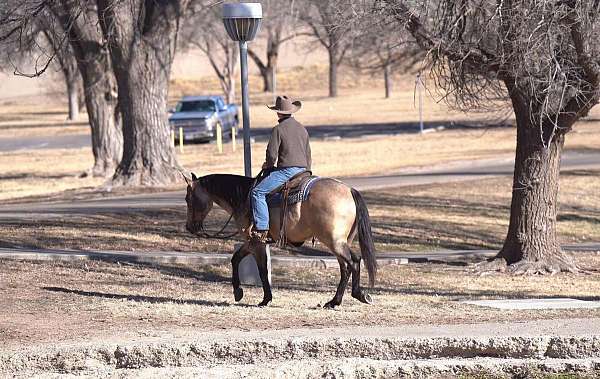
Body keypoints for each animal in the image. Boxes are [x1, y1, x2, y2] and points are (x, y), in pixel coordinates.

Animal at [185, 172, 378, 308]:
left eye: (188, 198)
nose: (189, 227)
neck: (244, 197)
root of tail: (349, 190)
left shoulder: (256, 243)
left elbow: (262, 270)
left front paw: (263, 299)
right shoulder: (253, 243)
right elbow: (236, 258)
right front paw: (239, 292)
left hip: (335, 242)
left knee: (354, 262)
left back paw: (359, 295)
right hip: (341, 242)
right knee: (345, 268)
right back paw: (333, 302)